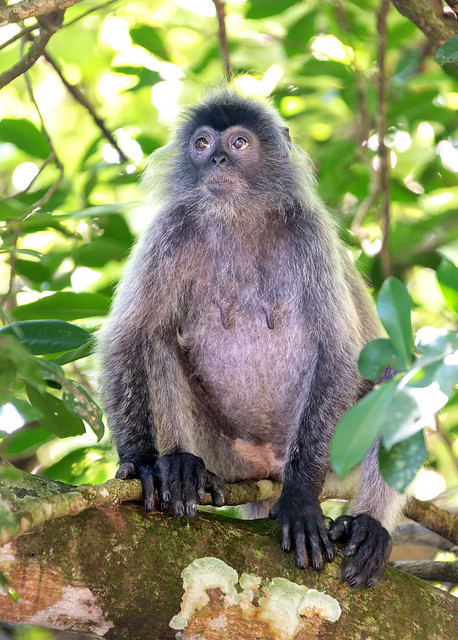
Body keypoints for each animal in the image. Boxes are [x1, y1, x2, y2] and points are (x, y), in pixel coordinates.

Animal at [98, 88, 405, 588]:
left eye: (239, 143)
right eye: (202, 144)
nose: (218, 159)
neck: (238, 217)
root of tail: (267, 465)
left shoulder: (309, 232)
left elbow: (339, 354)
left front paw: (300, 499)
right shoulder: (171, 228)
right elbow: (127, 337)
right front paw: (143, 461)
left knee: (393, 376)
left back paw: (367, 525)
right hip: (227, 455)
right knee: (156, 340)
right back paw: (183, 468)